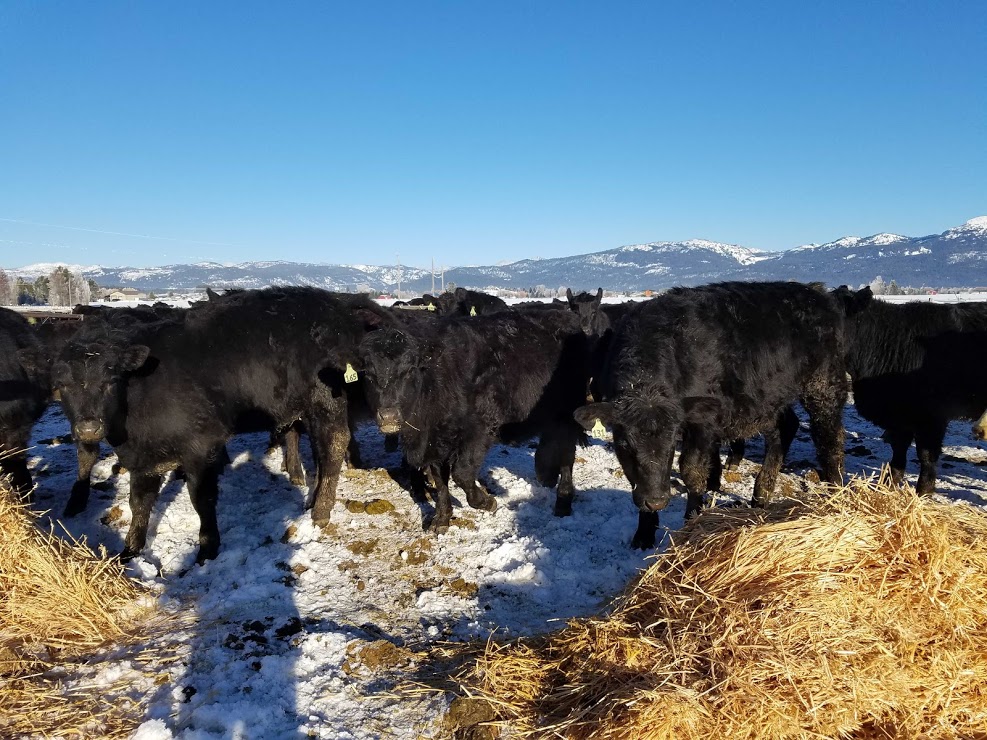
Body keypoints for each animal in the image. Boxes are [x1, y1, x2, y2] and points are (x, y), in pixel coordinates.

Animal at [54, 288, 394, 560]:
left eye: (111, 380)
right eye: (63, 385)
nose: (88, 428)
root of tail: (335, 302)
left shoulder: (200, 446)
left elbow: (201, 500)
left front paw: (207, 548)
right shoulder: (141, 458)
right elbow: (139, 502)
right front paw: (130, 550)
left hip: (326, 399)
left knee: (334, 443)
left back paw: (321, 511)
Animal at [356, 310, 592, 528]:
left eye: (409, 370)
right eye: (368, 374)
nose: (388, 416)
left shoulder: (479, 430)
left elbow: (462, 473)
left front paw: (486, 502)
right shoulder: (436, 442)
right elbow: (440, 480)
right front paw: (441, 519)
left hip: (569, 410)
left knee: (567, 455)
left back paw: (563, 502)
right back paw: (546, 474)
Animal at [576, 284, 860, 548]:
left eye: (671, 445)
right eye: (624, 445)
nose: (656, 500)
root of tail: (817, 293)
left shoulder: (703, 421)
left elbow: (692, 471)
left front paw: (691, 523)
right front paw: (644, 533)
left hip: (824, 384)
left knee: (830, 438)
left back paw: (835, 493)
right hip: (770, 394)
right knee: (785, 428)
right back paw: (760, 496)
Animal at [840, 292, 987, 494]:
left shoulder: (931, 418)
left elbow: (926, 455)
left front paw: (924, 491)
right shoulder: (900, 417)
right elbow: (898, 450)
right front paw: (889, 484)